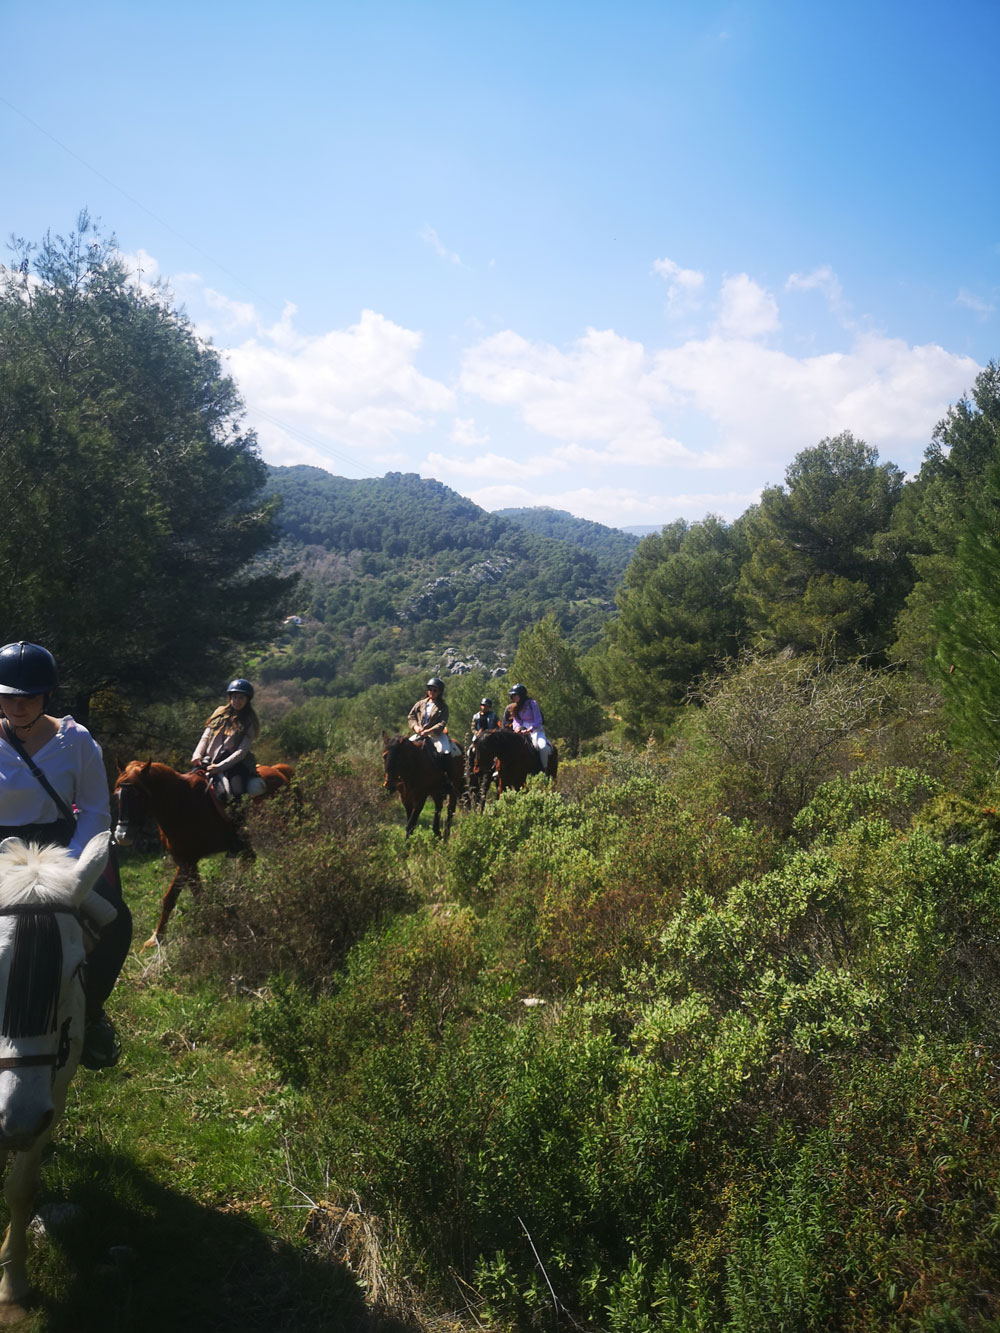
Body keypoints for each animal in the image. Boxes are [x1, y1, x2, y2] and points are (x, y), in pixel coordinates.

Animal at [115, 762, 293, 949]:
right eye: (117, 795)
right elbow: (176, 897)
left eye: (138, 795)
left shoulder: (189, 860)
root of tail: (278, 770)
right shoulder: (183, 860)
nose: (122, 836)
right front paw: (157, 938)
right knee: (249, 861)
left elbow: (187, 896)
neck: (180, 804)